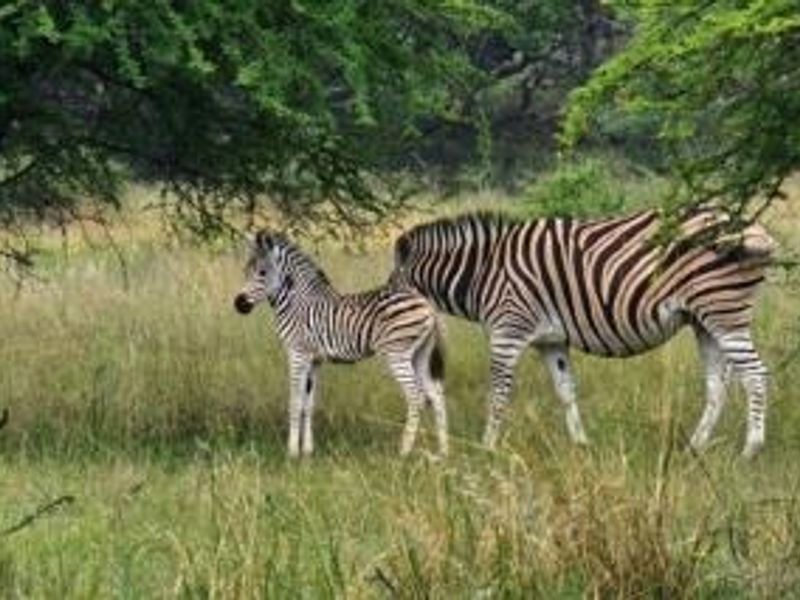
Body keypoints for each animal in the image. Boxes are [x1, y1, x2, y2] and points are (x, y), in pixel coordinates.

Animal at [233, 231, 447, 458]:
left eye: (262, 272)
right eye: (245, 271)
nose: (239, 304)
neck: (296, 303)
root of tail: (426, 303)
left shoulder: (297, 353)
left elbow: (295, 401)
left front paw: (291, 452)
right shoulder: (314, 360)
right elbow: (308, 404)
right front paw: (307, 450)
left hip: (397, 353)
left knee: (416, 396)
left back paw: (404, 451)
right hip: (420, 354)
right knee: (436, 395)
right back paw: (443, 453)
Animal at [390, 209, 776, 457]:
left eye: (390, 292)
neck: (483, 272)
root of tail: (751, 225)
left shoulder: (508, 331)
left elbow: (497, 393)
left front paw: (487, 448)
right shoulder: (551, 342)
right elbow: (566, 392)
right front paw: (581, 446)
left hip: (724, 313)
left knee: (756, 374)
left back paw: (751, 450)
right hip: (705, 321)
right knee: (718, 385)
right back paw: (694, 448)